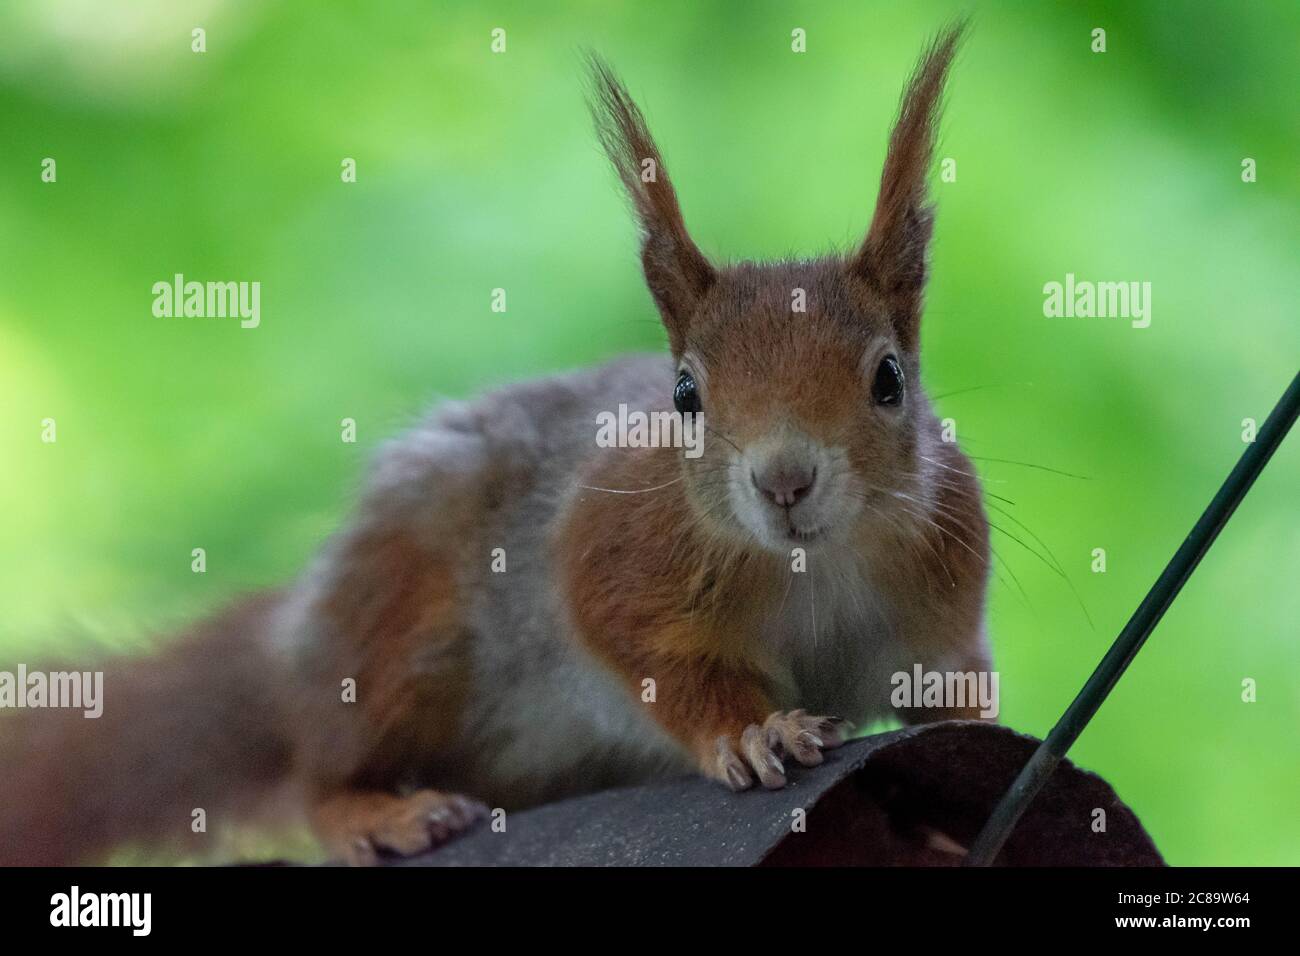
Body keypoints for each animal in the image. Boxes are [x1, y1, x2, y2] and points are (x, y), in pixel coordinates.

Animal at [0, 24, 982, 868]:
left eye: (888, 380)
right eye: (685, 397)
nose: (784, 481)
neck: (812, 567)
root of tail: (292, 641)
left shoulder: (944, 591)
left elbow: (951, 693)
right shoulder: (615, 553)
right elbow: (658, 660)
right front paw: (753, 729)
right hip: (395, 637)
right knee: (321, 770)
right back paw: (376, 812)